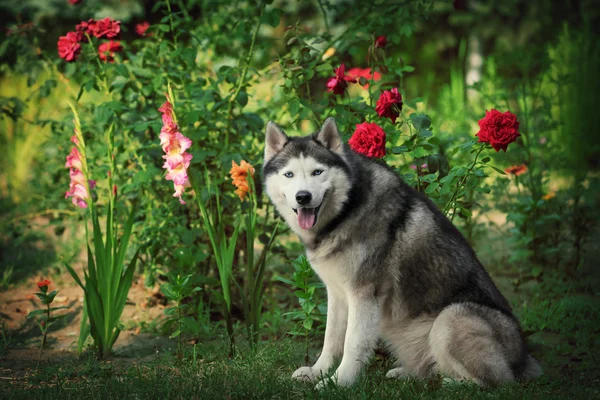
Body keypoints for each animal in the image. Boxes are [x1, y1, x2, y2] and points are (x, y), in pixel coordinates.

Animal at [262, 118, 544, 388]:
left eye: (317, 172)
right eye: (289, 174)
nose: (303, 197)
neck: (346, 210)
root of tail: (525, 358)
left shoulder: (364, 294)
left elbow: (353, 344)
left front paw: (339, 383)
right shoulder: (337, 293)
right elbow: (331, 339)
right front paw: (317, 372)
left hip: (451, 317)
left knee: (497, 381)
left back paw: (449, 384)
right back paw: (410, 375)